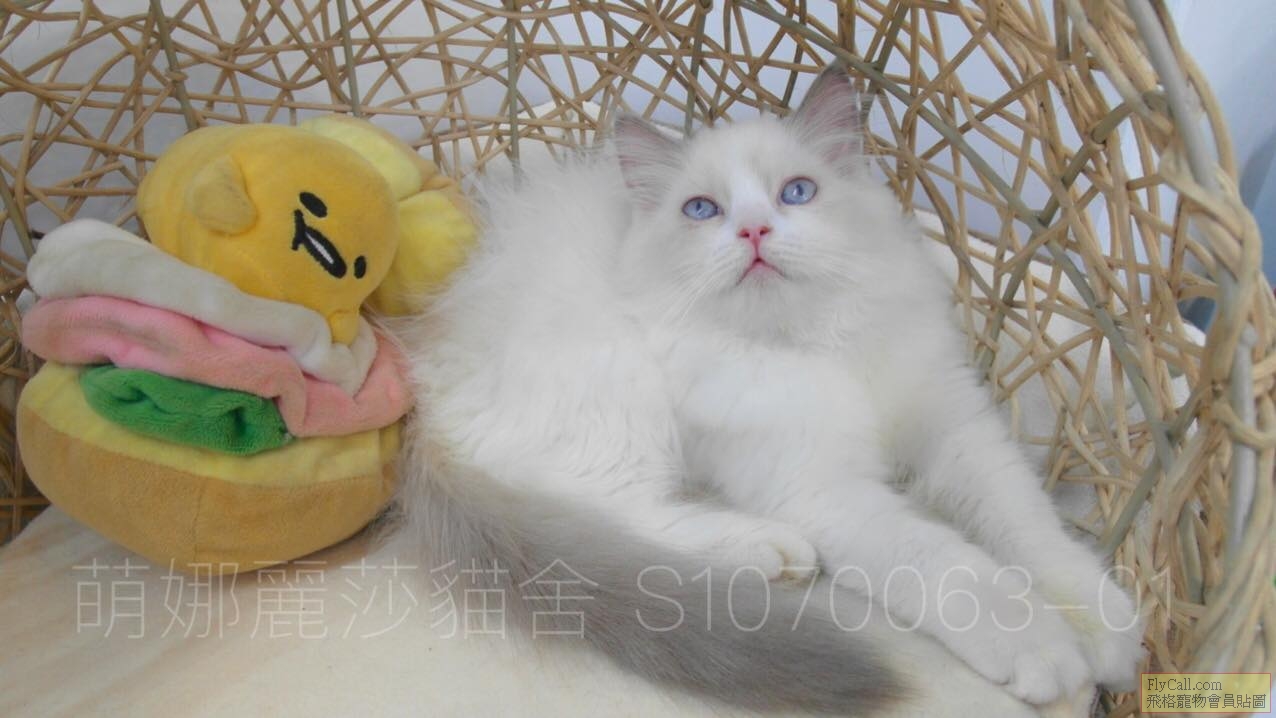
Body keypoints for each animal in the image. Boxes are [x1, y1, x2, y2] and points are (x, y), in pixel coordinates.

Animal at [390, 63, 1143, 714]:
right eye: (701, 209)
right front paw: (1036, 641)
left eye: (797, 193)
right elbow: (947, 561)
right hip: (616, 394)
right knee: (607, 514)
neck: (810, 343)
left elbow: (1023, 519)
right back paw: (770, 552)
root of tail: (426, 402)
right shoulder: (819, 489)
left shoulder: (955, 424)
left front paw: (1100, 622)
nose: (754, 231)